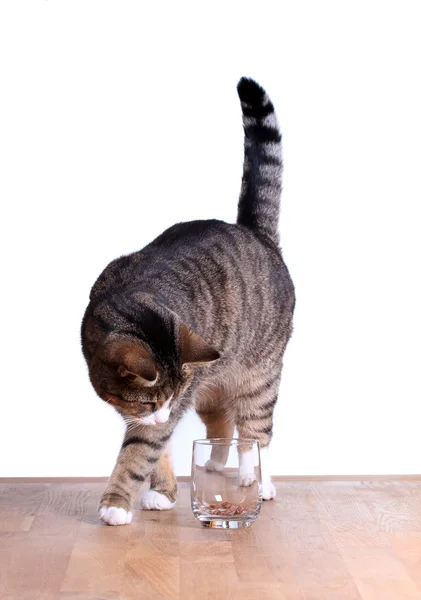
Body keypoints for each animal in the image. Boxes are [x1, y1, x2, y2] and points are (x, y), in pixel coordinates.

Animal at [80, 76, 294, 524]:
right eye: (154, 399)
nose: (164, 408)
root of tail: (256, 234)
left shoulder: (170, 406)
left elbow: (140, 451)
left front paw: (116, 504)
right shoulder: (148, 405)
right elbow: (156, 445)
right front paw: (163, 491)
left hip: (261, 375)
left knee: (256, 433)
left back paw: (255, 479)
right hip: (212, 378)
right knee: (222, 423)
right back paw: (213, 461)